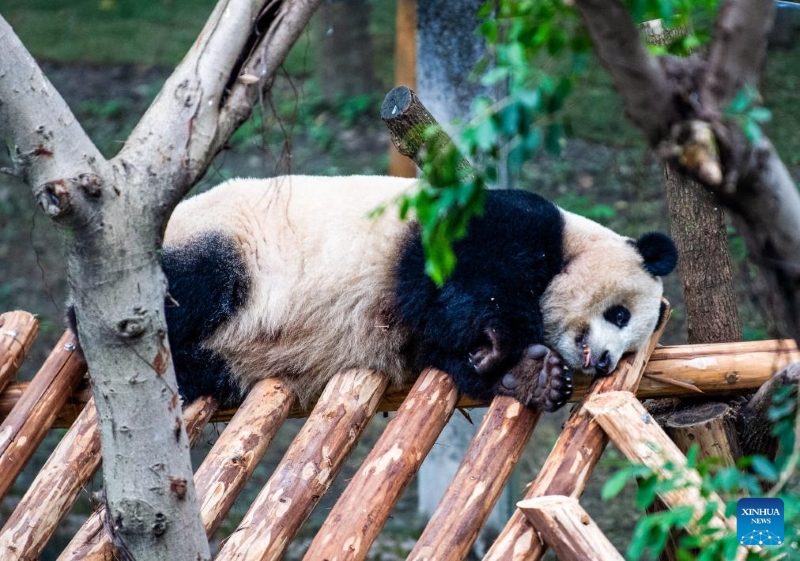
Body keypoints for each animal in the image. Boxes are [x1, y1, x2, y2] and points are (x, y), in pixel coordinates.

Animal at [75, 175, 677, 412]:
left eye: (630, 344)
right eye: (619, 314)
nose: (604, 362)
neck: (571, 244)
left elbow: (441, 351)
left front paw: (533, 375)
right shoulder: (502, 220)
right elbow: (457, 283)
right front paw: (500, 342)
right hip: (226, 239)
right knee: (196, 283)